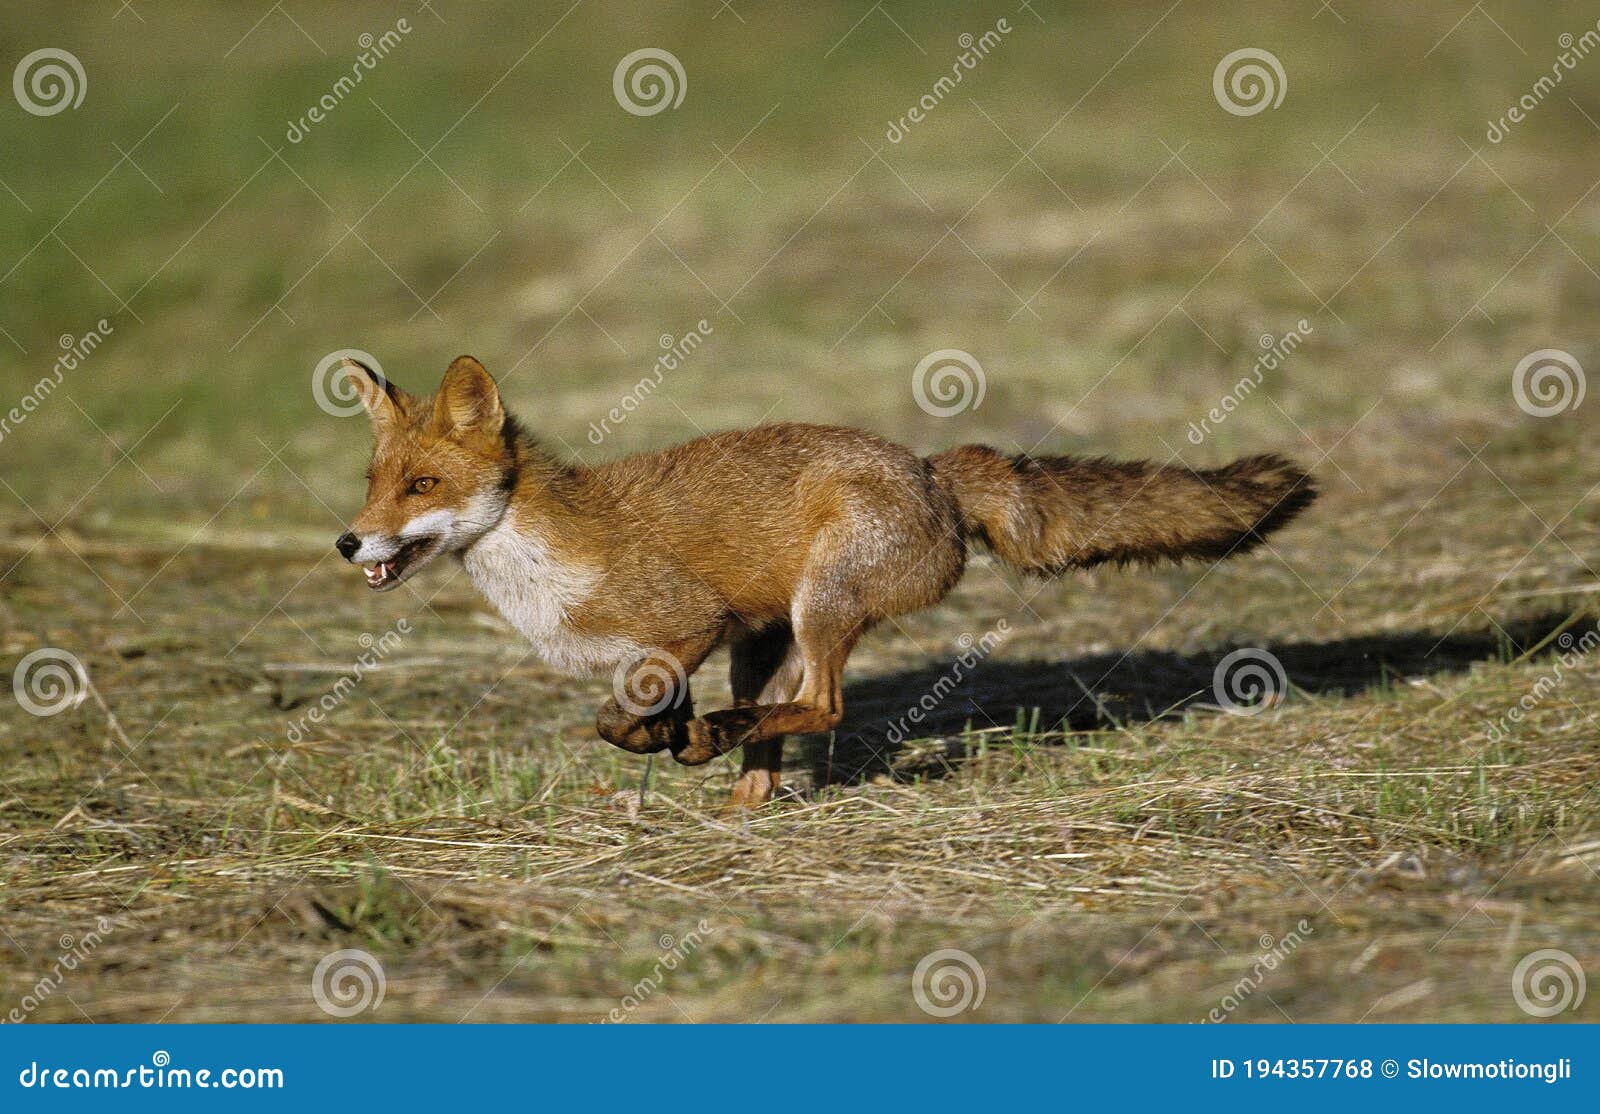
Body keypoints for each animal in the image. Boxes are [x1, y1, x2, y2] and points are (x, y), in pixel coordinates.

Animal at [335, 355, 1316, 807]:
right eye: (374, 481)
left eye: (423, 486)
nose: (349, 542)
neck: (546, 563)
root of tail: (932, 470)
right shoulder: (691, 646)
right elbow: (635, 711)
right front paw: (670, 738)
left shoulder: (688, 623)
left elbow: (621, 713)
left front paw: (662, 737)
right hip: (771, 640)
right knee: (782, 726)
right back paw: (734, 791)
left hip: (821, 607)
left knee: (824, 707)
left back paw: (719, 746)